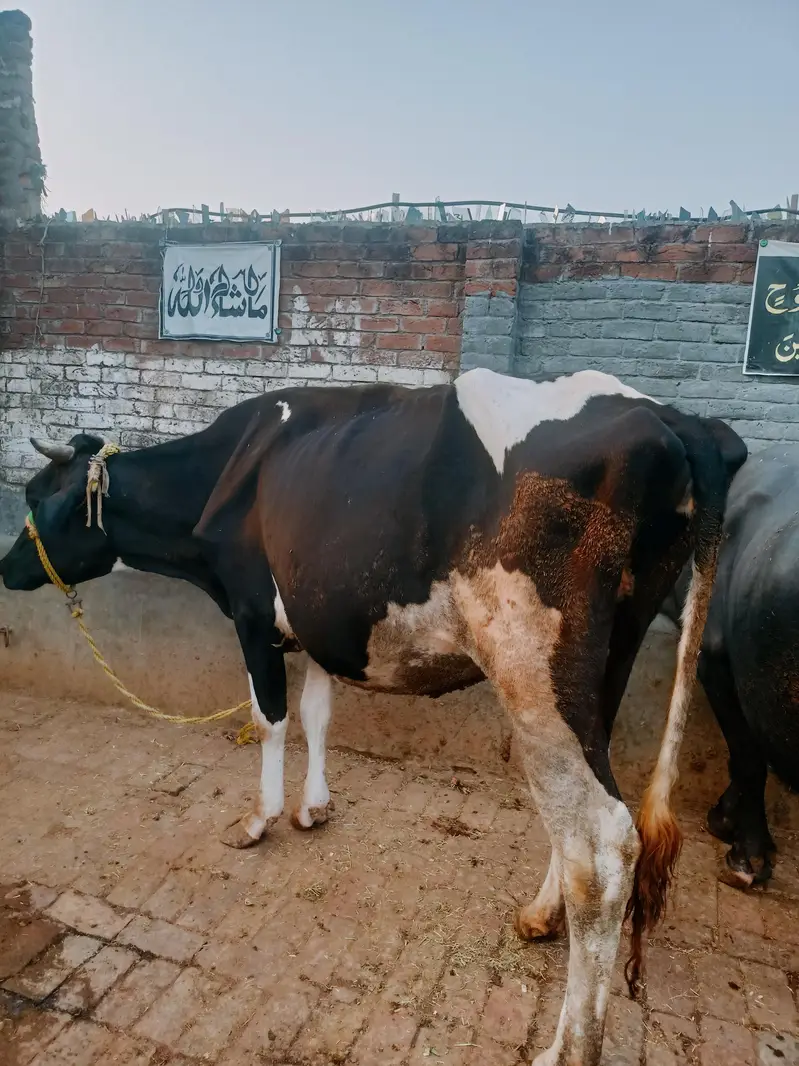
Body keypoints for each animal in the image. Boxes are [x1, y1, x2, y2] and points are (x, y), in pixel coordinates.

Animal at [0, 368, 746, 1066]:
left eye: (37, 497)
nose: (6, 568)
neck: (226, 475)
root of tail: (674, 418)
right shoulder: (317, 622)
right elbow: (318, 713)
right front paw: (314, 808)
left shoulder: (252, 613)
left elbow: (271, 718)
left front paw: (259, 820)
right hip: (602, 668)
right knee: (584, 817)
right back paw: (539, 915)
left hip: (530, 669)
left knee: (602, 844)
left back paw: (567, 1047)